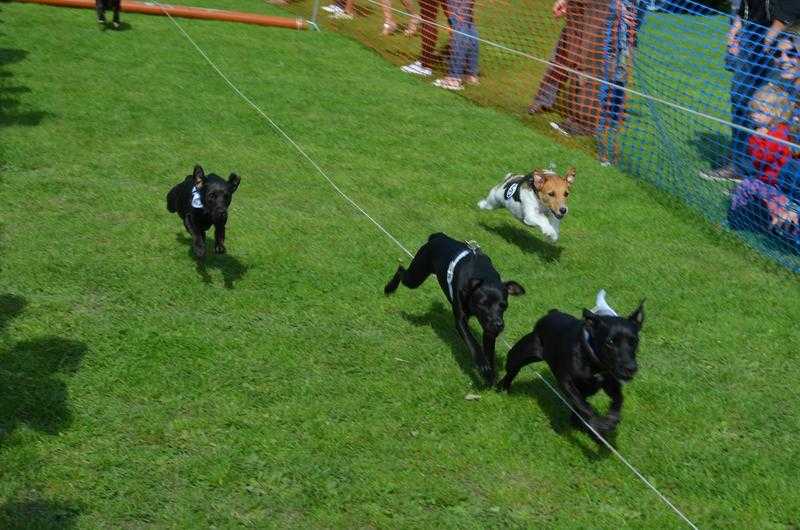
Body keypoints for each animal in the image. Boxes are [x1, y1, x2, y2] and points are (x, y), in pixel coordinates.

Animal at [382, 232, 524, 384]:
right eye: (483, 303)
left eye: (504, 305)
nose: (498, 324)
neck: (483, 274)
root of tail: (438, 236)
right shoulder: (461, 319)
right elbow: (473, 342)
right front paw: (482, 365)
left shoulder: (489, 330)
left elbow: (489, 352)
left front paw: (490, 375)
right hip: (416, 275)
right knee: (401, 270)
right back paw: (389, 288)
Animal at [500, 300, 644, 436]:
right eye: (610, 342)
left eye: (634, 341)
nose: (631, 368)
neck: (593, 361)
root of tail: (551, 313)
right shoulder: (566, 381)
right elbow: (582, 403)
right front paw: (600, 423)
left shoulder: (610, 383)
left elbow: (618, 399)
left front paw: (610, 420)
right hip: (519, 354)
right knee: (511, 371)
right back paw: (501, 387)